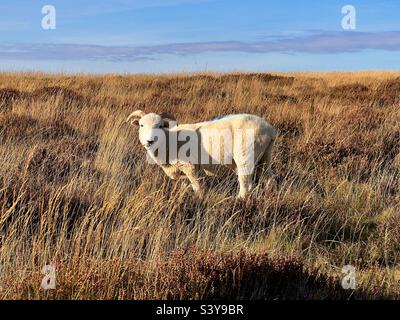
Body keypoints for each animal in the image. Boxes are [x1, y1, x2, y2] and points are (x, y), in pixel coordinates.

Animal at [126, 111, 276, 199]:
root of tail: (269, 129)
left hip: (245, 155)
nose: (150, 141)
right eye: (141, 125)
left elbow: (197, 187)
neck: (170, 140)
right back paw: (269, 195)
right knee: (269, 178)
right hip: (265, 156)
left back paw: (239, 200)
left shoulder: (190, 167)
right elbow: (185, 184)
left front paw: (199, 200)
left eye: (161, 125)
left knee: (245, 184)